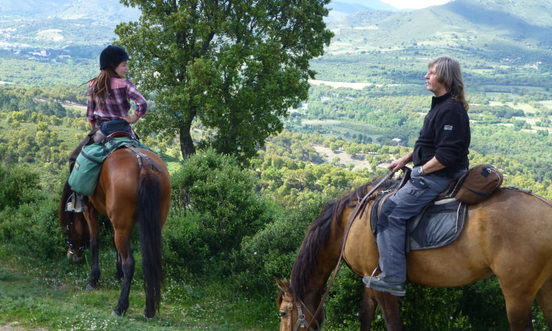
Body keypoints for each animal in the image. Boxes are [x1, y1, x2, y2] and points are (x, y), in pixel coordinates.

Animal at [58, 147, 170, 320]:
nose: (72, 256)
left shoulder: (90, 211)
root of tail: (143, 165)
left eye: (69, 227)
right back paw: (149, 309)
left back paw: (120, 307)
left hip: (122, 225)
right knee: (150, 260)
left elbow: (95, 242)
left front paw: (93, 280)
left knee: (129, 263)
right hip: (151, 223)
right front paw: (118, 274)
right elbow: (113, 243)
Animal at [278, 174, 552, 331]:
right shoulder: (370, 278)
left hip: (517, 293)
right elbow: (365, 316)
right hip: (544, 288)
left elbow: (392, 324)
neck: (350, 222)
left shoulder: (385, 286)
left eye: (282, 313)